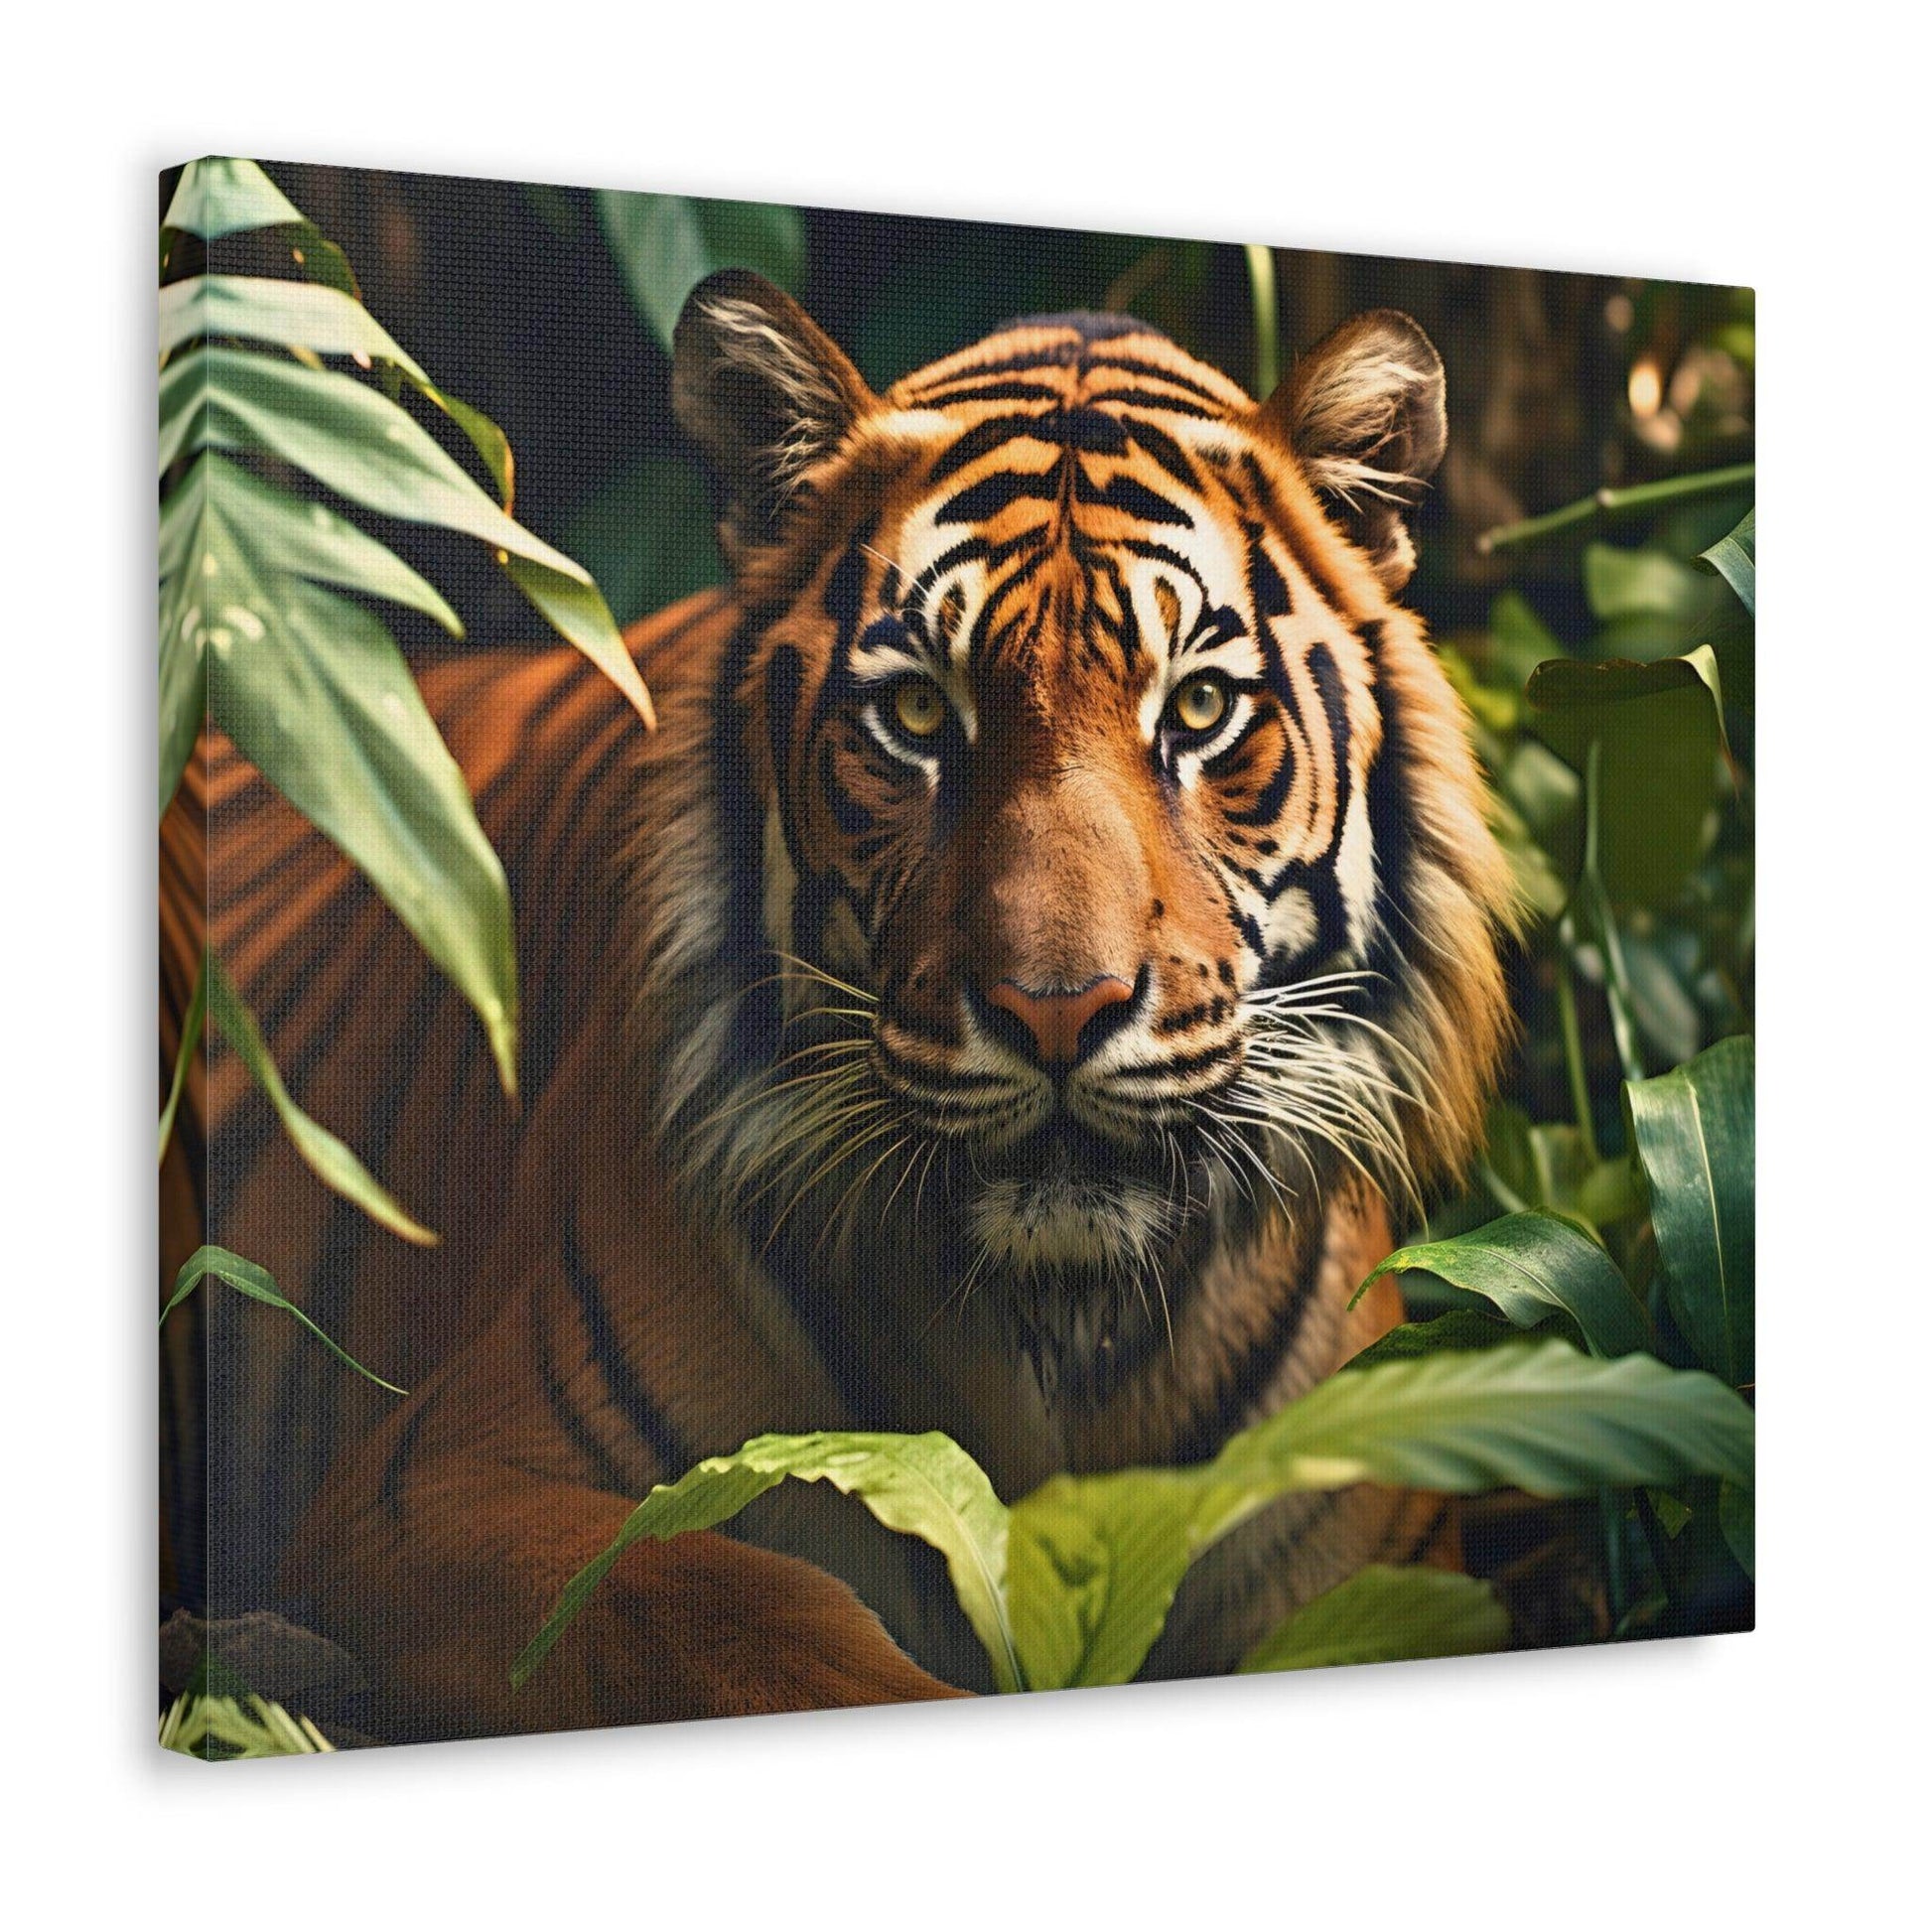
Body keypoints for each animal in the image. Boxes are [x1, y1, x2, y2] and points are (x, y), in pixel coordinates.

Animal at [159, 273, 1516, 1742]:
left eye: (1201, 706)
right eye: (917, 713)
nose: (1056, 1010)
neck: (1055, 1337)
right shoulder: (429, 1486)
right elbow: (722, 1603)